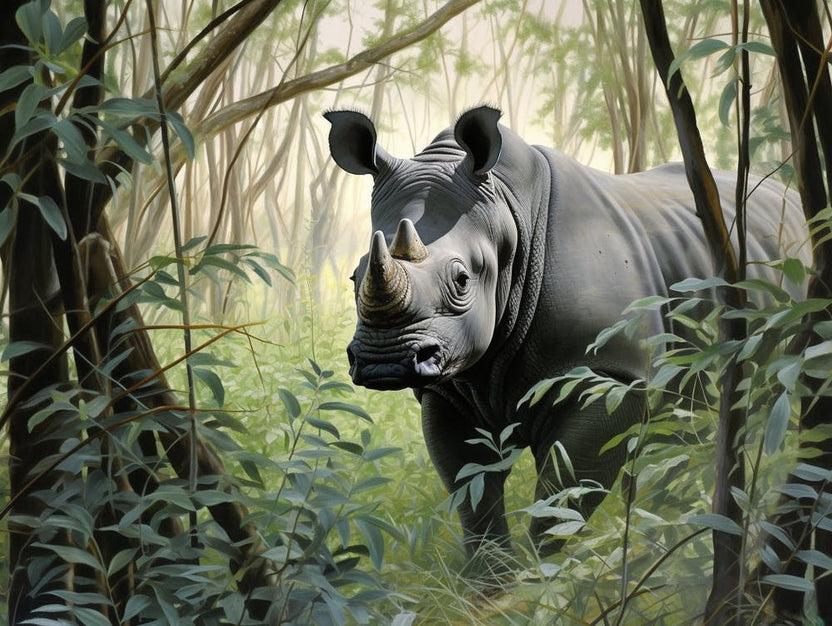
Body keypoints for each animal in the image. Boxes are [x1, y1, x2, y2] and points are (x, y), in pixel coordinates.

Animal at [324, 106, 809, 569]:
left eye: (462, 280)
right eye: (354, 276)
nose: (383, 361)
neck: (508, 218)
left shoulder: (610, 374)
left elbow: (564, 493)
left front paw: (540, 579)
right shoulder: (450, 385)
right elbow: (472, 488)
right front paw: (488, 582)